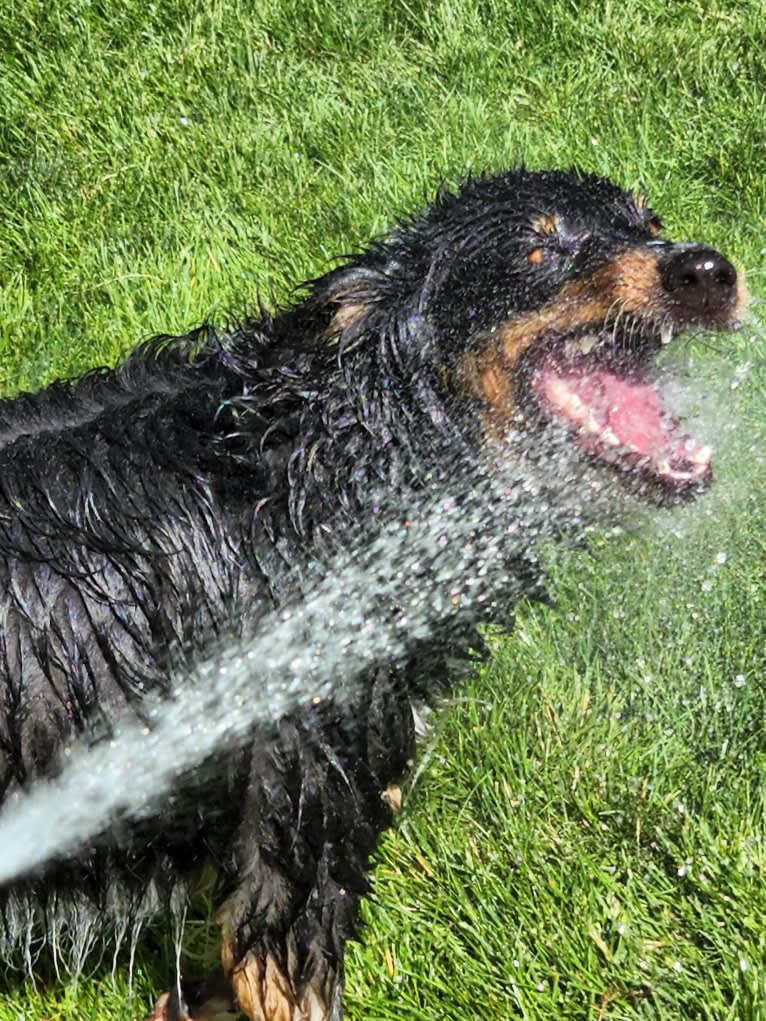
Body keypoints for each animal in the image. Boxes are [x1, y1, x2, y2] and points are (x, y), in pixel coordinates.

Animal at [0, 171, 747, 1016]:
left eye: (648, 224)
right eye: (536, 247)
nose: (707, 271)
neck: (332, 467)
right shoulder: (299, 798)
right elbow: (289, 975)